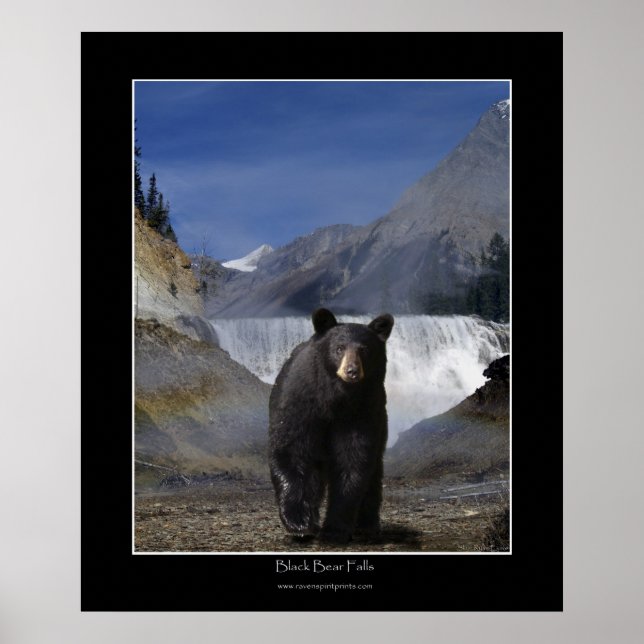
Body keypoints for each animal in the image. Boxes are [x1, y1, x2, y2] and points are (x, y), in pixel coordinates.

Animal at [268, 308, 394, 543]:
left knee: (373, 474)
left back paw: (367, 525)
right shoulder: (301, 402)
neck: (336, 398)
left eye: (364, 350)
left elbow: (353, 460)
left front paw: (335, 528)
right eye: (339, 348)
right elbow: (291, 450)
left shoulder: (362, 412)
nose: (352, 371)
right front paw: (299, 523)